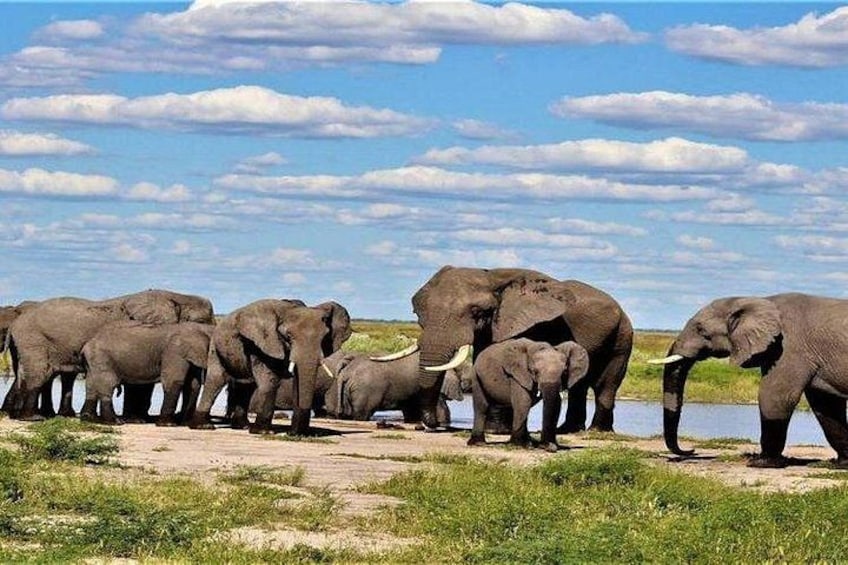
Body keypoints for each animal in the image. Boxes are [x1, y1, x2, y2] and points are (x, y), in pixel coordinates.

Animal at [80, 321, 214, 426]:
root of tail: (88, 343)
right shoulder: (175, 351)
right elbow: (174, 380)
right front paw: (168, 424)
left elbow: (193, 385)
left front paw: (185, 423)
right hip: (101, 357)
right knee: (108, 384)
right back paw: (115, 422)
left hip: (94, 359)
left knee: (91, 384)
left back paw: (89, 419)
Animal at [189, 299, 351, 436]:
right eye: (288, 336)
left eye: (324, 337)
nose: (295, 434)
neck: (289, 310)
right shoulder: (260, 344)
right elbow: (270, 381)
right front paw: (263, 432)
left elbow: (297, 383)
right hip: (216, 346)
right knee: (216, 380)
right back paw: (203, 426)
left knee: (246, 386)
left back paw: (242, 426)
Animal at [378, 266, 632, 432]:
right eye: (418, 313)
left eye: (477, 312)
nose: (430, 425)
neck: (491, 276)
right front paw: (496, 429)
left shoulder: (531, 325)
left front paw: (496, 431)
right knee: (579, 386)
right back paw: (568, 430)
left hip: (622, 338)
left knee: (606, 385)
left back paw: (597, 431)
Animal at [651, 293, 848, 468]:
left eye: (701, 330)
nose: (691, 450)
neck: (757, 301)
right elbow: (827, 406)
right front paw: (840, 464)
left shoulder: (789, 348)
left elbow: (775, 397)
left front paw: (761, 463)